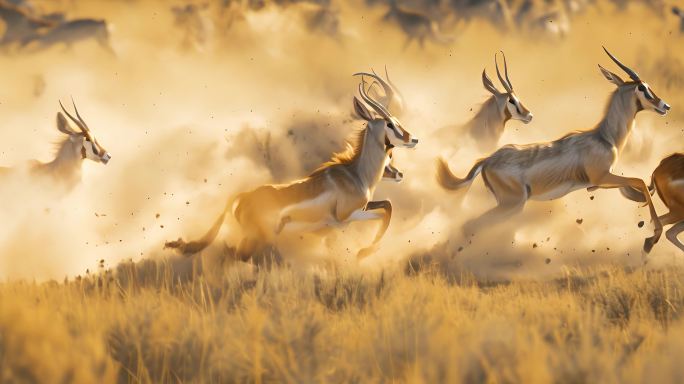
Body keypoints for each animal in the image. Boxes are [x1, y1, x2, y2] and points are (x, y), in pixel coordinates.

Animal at [166, 73, 420, 260]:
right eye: (390, 123)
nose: (413, 138)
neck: (355, 175)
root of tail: (243, 196)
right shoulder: (346, 217)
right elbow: (385, 214)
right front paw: (363, 253)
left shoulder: (363, 208)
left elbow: (387, 206)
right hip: (257, 238)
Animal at [438, 47, 668, 252]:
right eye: (642, 88)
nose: (665, 106)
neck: (604, 137)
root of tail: (487, 160)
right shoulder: (602, 177)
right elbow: (640, 182)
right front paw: (652, 237)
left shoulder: (597, 184)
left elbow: (638, 186)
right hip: (512, 205)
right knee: (470, 225)